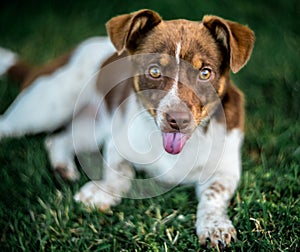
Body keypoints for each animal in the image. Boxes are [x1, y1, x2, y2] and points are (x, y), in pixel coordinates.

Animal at [0, 9, 254, 248]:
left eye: (205, 73)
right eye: (154, 71)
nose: (178, 120)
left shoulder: (226, 168)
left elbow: (214, 194)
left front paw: (215, 227)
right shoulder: (117, 143)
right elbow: (120, 173)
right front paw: (100, 193)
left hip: (89, 128)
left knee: (57, 140)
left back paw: (63, 168)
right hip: (44, 110)